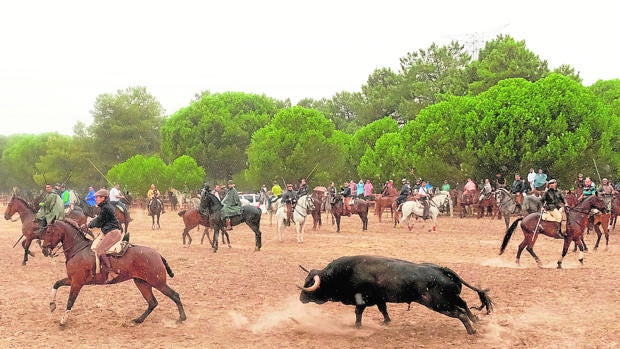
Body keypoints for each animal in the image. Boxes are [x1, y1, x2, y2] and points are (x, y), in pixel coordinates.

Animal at [40, 219, 186, 324]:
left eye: (49, 232)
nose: (44, 249)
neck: (78, 249)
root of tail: (157, 254)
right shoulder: (71, 280)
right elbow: (56, 284)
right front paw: (52, 305)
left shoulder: (77, 283)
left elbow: (70, 301)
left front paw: (63, 320)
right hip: (141, 282)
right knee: (152, 302)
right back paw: (138, 320)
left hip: (157, 282)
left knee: (174, 295)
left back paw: (182, 318)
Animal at [300, 254, 494, 334]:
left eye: (310, 284)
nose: (301, 298)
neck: (342, 273)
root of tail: (441, 269)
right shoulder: (379, 299)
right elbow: (383, 310)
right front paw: (387, 322)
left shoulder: (361, 299)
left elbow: (358, 312)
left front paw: (357, 327)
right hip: (451, 299)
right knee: (465, 306)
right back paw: (477, 322)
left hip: (440, 304)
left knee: (460, 313)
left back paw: (471, 331)